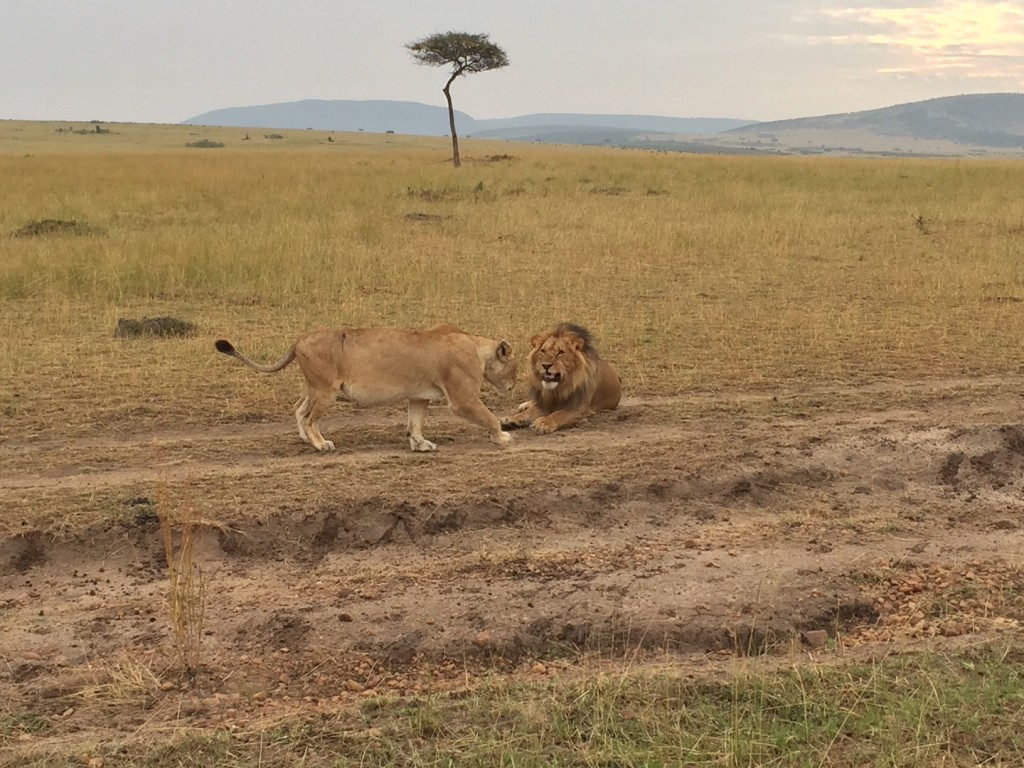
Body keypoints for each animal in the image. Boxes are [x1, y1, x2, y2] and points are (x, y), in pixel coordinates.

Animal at [214, 324, 516, 452]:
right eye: (514, 368)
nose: (513, 387)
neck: (477, 347)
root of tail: (299, 338)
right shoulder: (462, 398)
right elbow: (489, 417)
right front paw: (502, 437)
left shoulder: (419, 396)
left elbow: (415, 423)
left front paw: (420, 444)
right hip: (326, 390)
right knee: (310, 418)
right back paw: (320, 444)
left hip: (314, 387)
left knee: (299, 409)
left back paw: (304, 439)